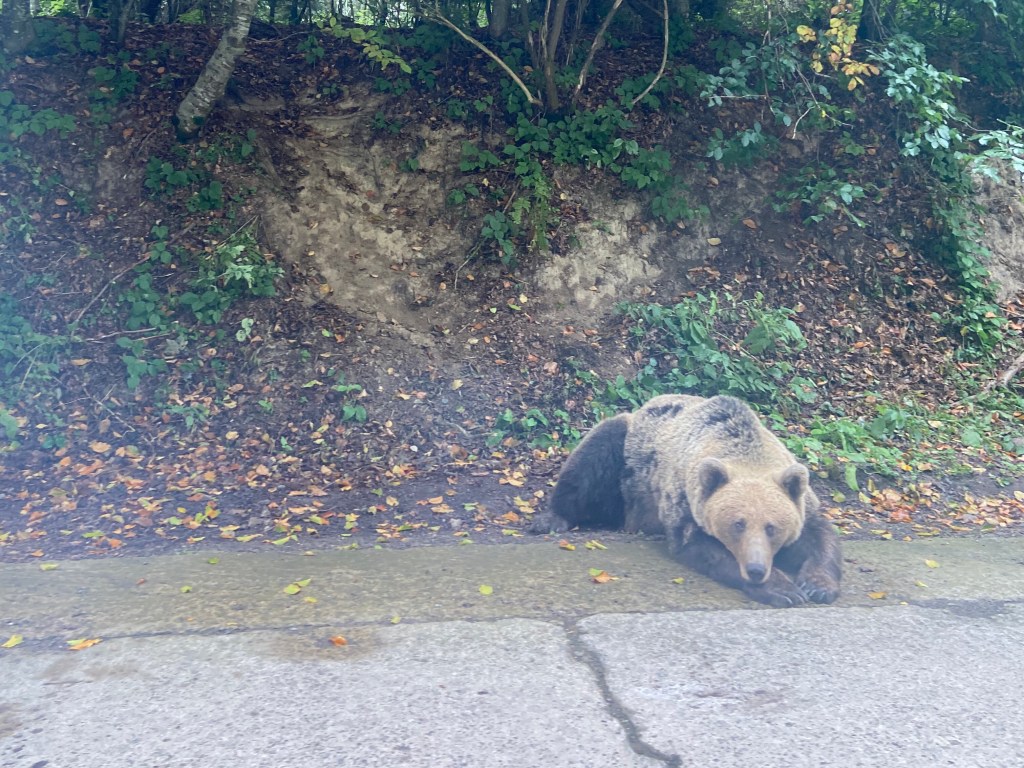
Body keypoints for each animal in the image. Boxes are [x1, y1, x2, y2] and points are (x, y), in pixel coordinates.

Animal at [531, 394, 842, 607]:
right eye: (738, 524)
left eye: (771, 527)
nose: (756, 570)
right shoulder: (684, 499)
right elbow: (700, 546)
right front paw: (783, 590)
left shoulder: (801, 502)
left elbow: (819, 537)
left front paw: (817, 585)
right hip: (625, 466)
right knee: (593, 455)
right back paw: (551, 519)